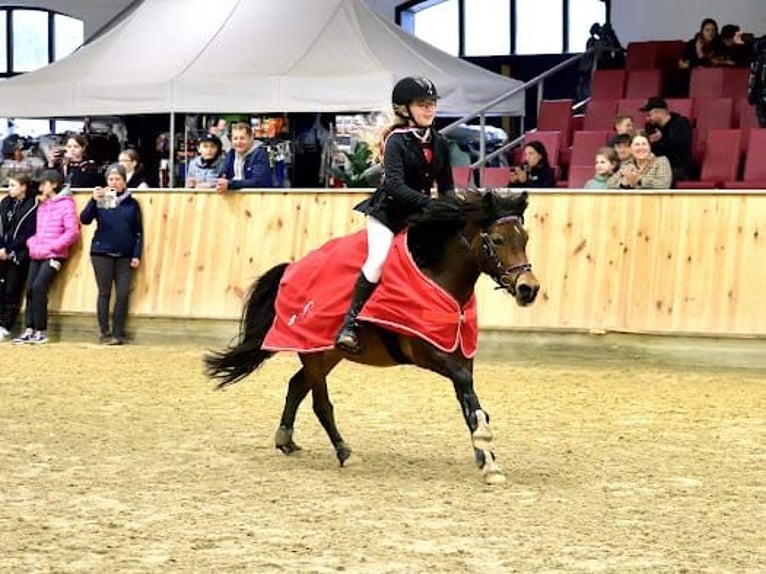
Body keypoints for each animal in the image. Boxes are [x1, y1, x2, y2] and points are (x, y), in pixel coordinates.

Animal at [204, 189, 540, 484]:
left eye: (525, 239)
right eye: (497, 240)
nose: (529, 289)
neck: (439, 277)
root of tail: (290, 268)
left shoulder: (461, 354)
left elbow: (470, 402)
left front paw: (487, 458)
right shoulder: (428, 352)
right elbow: (466, 390)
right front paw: (487, 455)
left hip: (329, 352)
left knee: (297, 386)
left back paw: (286, 440)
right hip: (313, 352)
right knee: (320, 403)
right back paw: (344, 453)